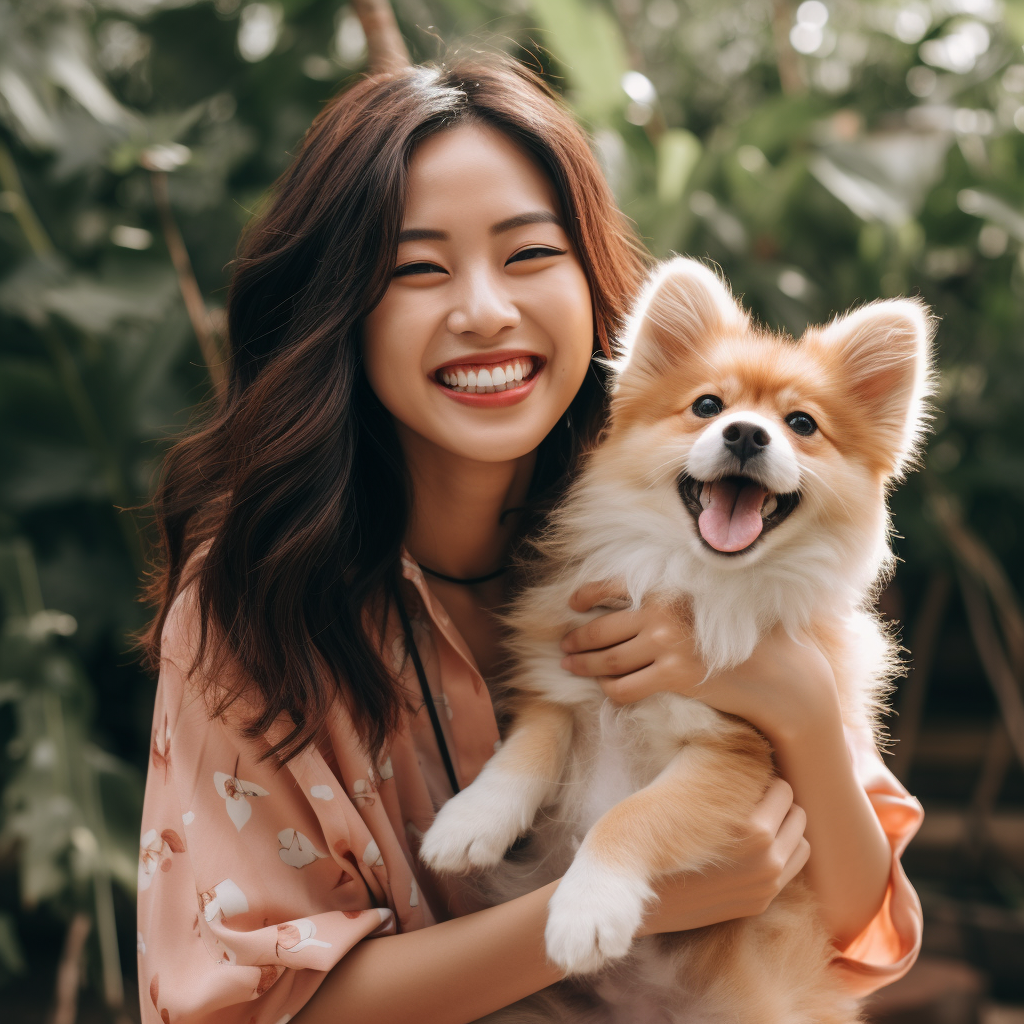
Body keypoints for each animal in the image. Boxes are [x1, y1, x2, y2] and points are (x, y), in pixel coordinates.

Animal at [419, 258, 933, 1024]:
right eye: (707, 406)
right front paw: (468, 821)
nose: (746, 434)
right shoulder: (566, 683)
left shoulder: (735, 755)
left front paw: (586, 910)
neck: (692, 582)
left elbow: (632, 815)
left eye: (801, 424)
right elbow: (527, 749)